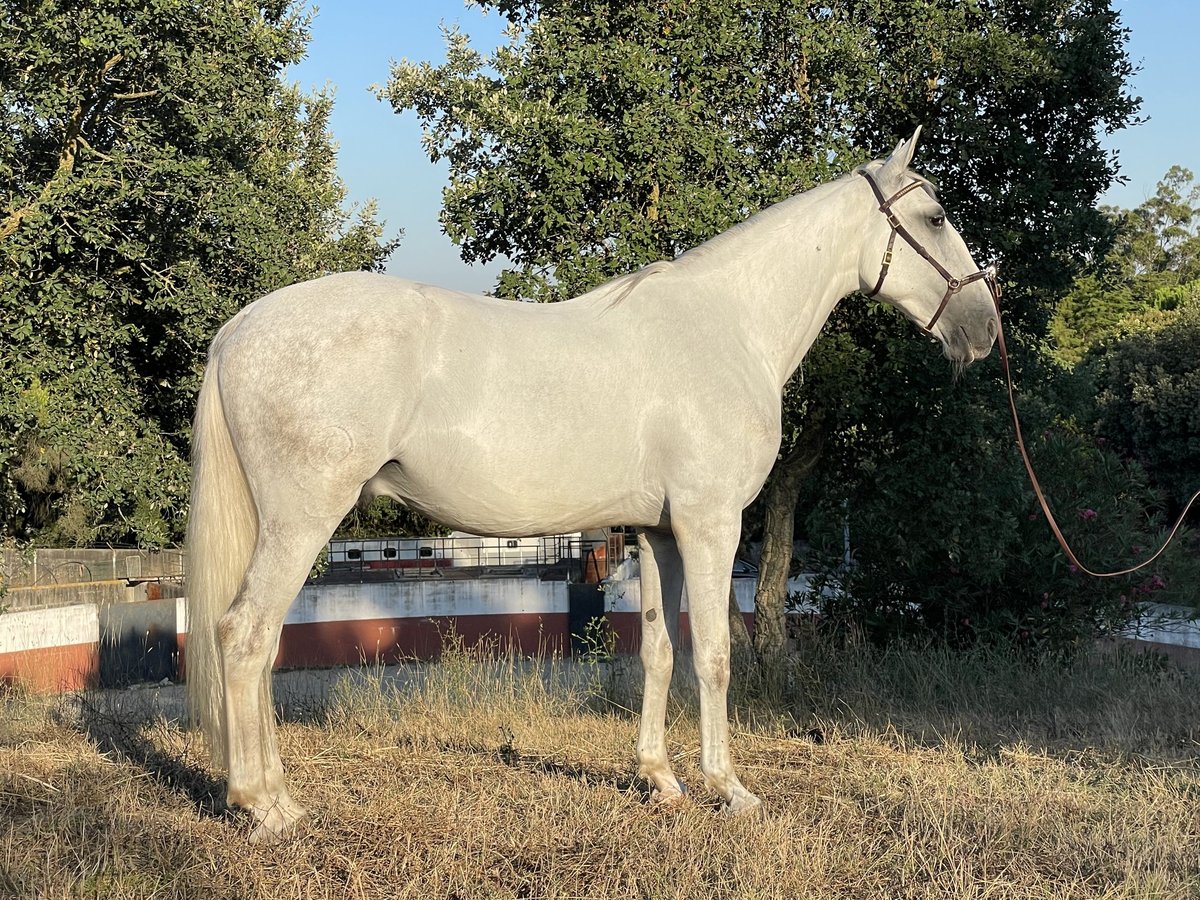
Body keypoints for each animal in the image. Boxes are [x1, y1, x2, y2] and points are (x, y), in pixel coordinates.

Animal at [184, 130, 993, 844]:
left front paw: (660, 779)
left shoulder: (659, 531)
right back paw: (266, 806)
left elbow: (659, 649)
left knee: (257, 644)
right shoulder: (710, 523)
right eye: (934, 217)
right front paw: (729, 789)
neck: (728, 328)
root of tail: (241, 327)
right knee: (246, 635)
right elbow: (715, 654)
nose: (985, 327)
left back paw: (273, 791)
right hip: (302, 519)